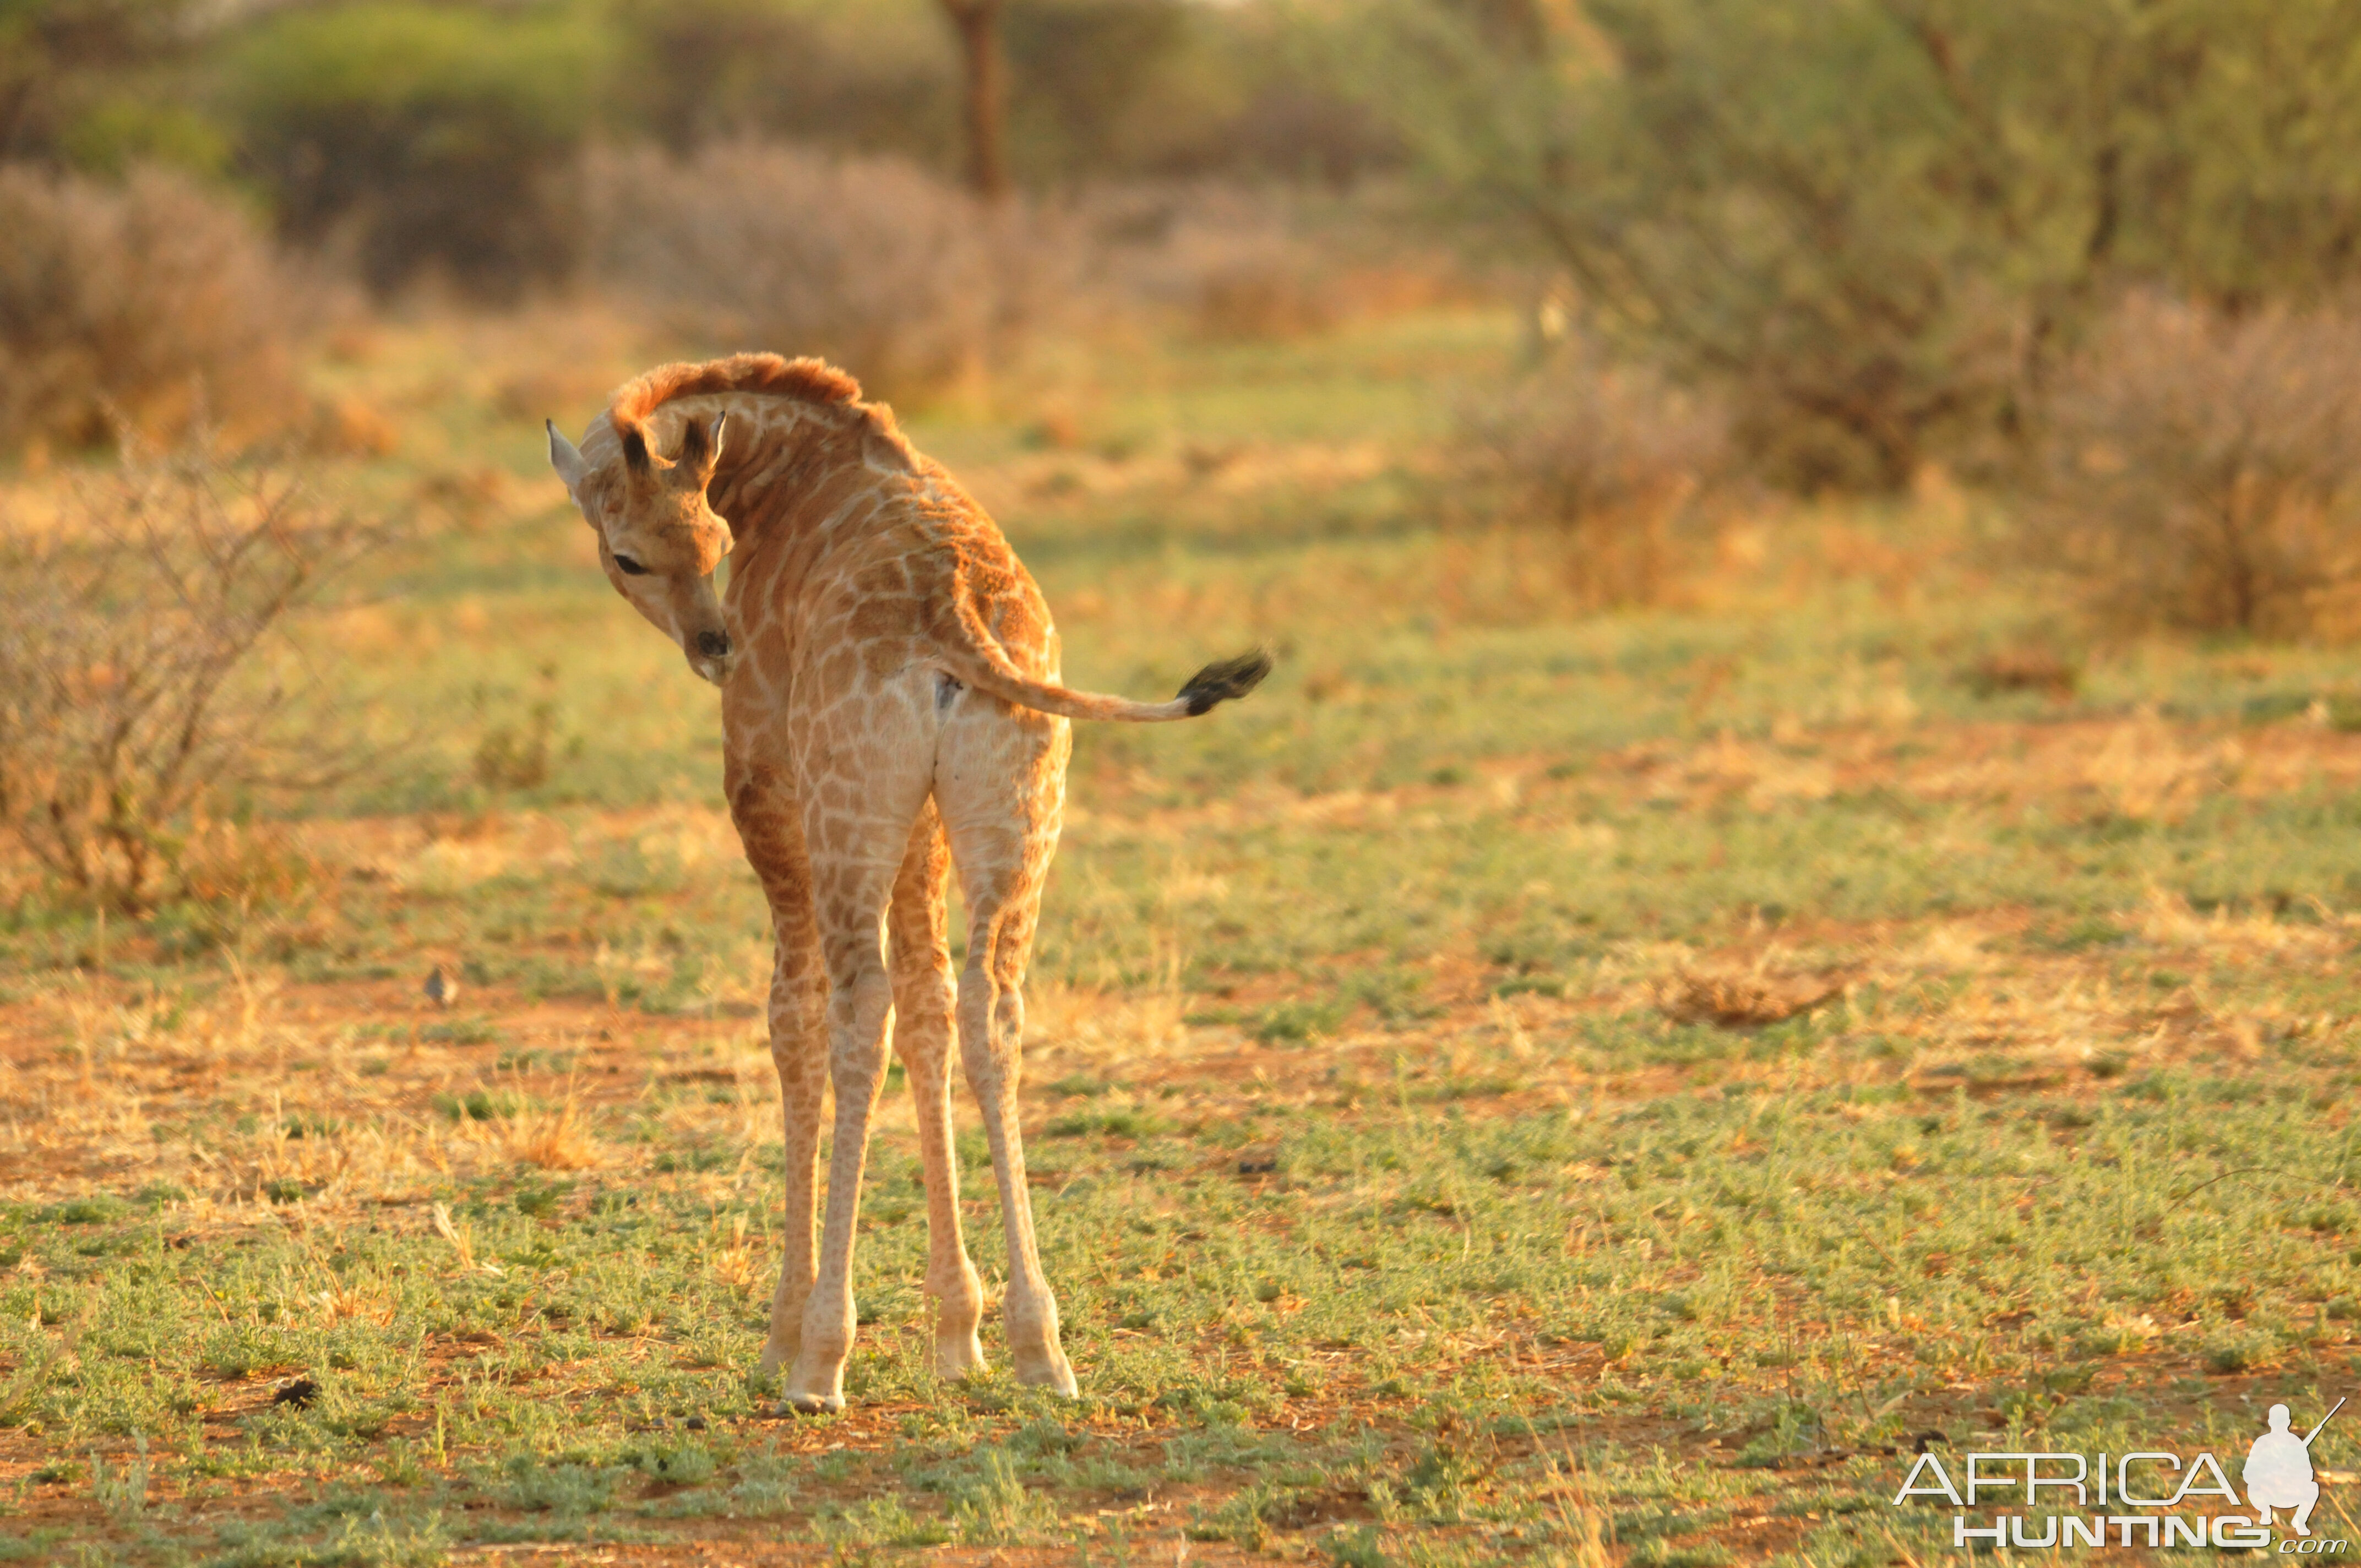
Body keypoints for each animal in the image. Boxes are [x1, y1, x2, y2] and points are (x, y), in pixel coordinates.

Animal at [547, 361, 1275, 1417]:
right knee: (989, 1011)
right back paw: (1039, 1344)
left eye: (706, 544)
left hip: (845, 812)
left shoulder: (764, 781)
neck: (789, 463)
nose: (715, 647)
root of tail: (954, 615)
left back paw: (819, 1358)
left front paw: (782, 1333)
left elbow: (795, 1020)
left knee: (858, 1012)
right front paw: (956, 1330)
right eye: (631, 556)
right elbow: (933, 1011)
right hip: (1014, 816)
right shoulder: (925, 824)